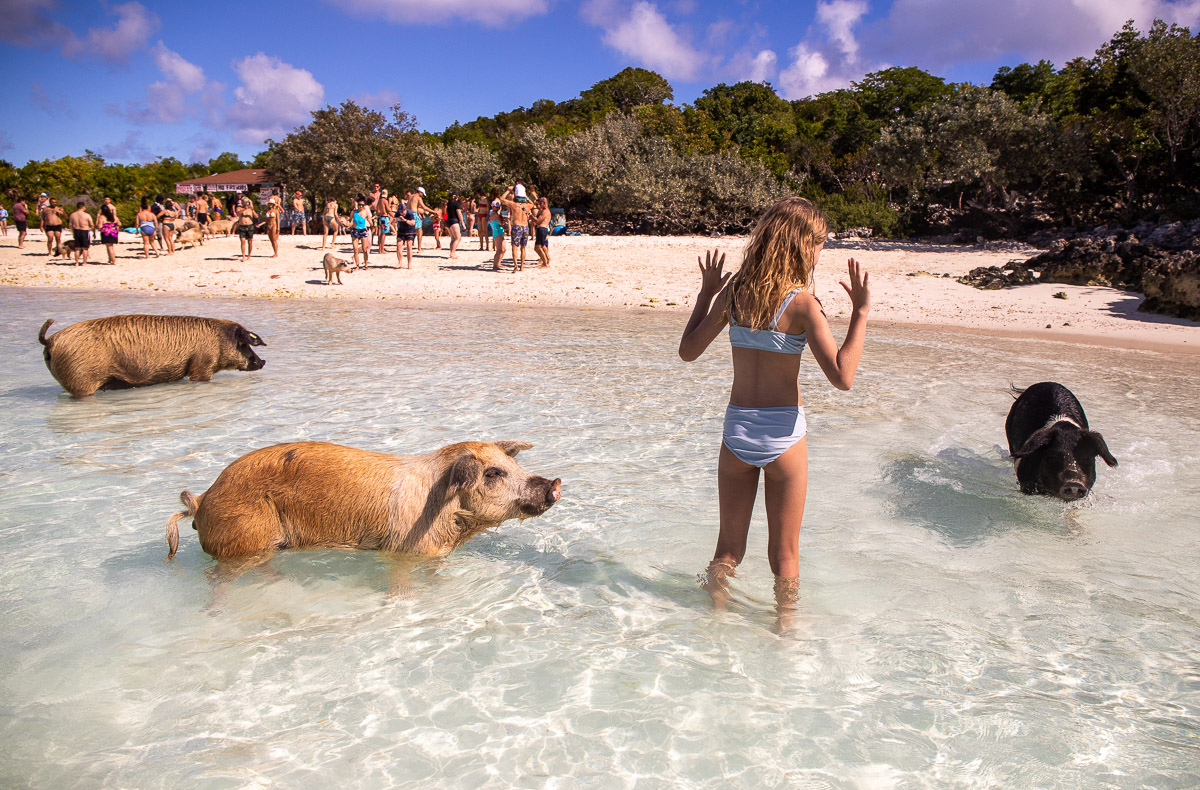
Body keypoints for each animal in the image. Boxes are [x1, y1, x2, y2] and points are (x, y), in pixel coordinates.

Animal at [39, 314, 267, 396]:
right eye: (243, 344)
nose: (262, 361)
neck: (219, 339)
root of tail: (51, 340)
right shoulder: (201, 364)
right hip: (81, 380)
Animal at [164, 437, 561, 559]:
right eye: (492, 473)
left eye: (512, 463)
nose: (554, 482)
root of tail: (201, 501)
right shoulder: (406, 550)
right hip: (243, 540)